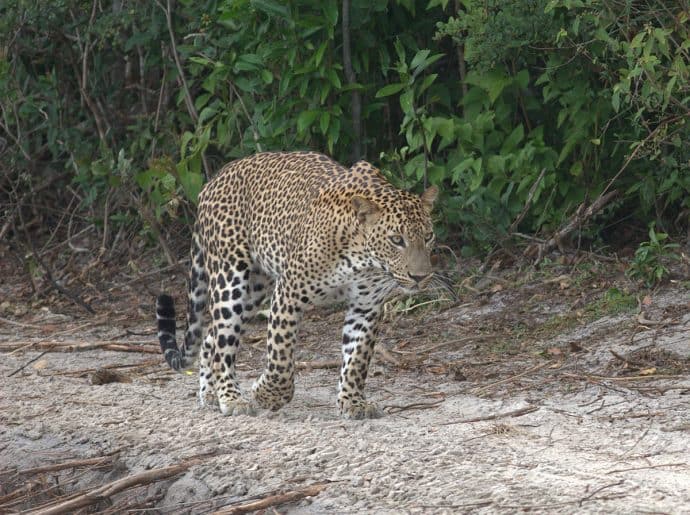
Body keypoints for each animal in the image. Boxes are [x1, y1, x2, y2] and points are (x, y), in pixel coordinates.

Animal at [157, 149, 446, 420]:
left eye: (429, 236)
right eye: (396, 239)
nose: (420, 276)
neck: (364, 260)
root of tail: (214, 179)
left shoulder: (366, 307)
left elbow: (357, 360)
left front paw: (353, 402)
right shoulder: (289, 293)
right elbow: (281, 355)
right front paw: (268, 395)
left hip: (255, 290)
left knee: (211, 336)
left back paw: (210, 393)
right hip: (230, 278)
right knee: (223, 340)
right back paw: (231, 397)